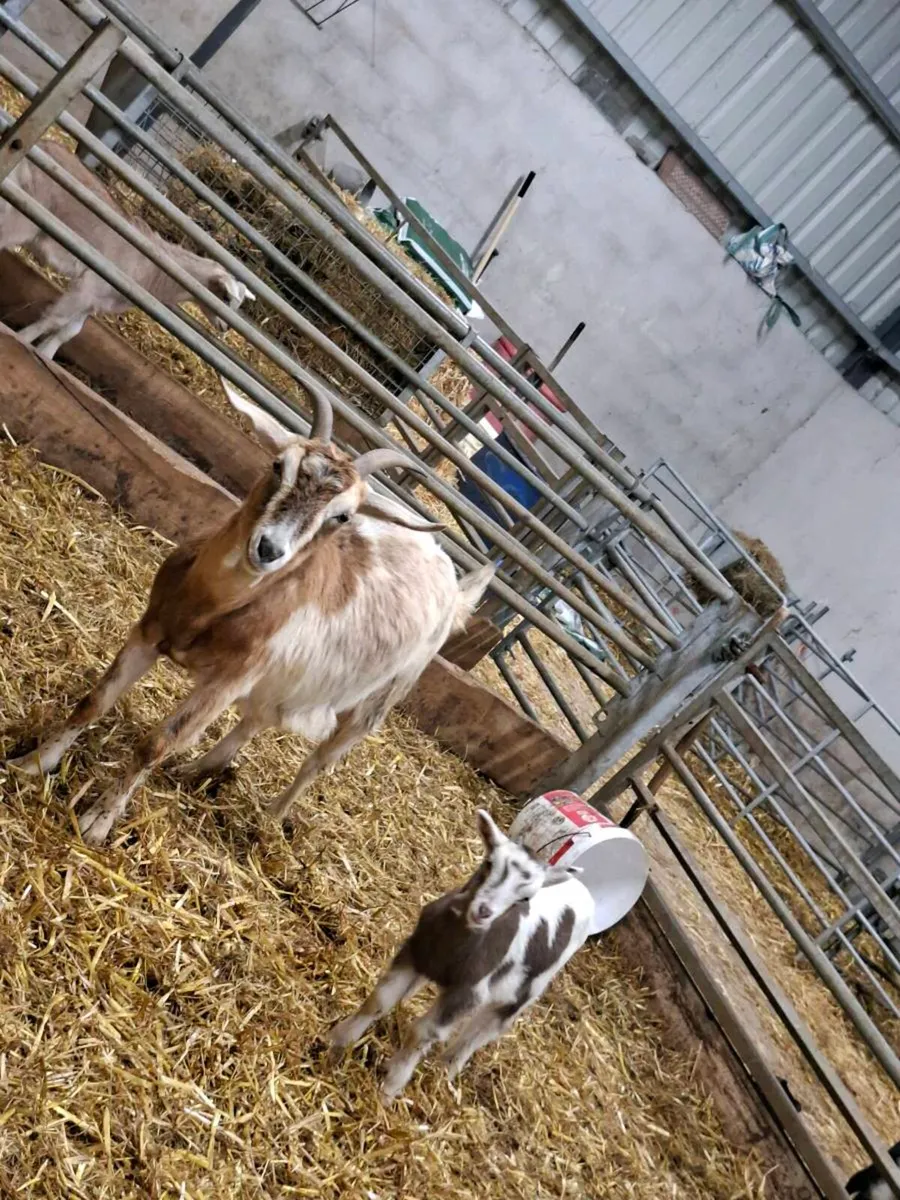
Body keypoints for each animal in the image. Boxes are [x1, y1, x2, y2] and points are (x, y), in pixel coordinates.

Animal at [0, 140, 253, 360]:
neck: (153, 269)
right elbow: (53, 320)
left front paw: (45, 354)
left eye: (238, 304)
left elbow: (69, 332)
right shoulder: (89, 286)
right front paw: (22, 340)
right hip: (21, 219)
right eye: (225, 297)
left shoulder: (97, 300)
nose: (225, 327)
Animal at [8, 379, 494, 845]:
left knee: (319, 760)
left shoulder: (227, 680)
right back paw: (197, 770)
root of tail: (451, 579)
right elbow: (94, 701)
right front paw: (32, 763)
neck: (207, 608)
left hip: (380, 698)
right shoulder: (149, 630)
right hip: (282, 680)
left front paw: (97, 823)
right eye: (279, 465)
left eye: (342, 517)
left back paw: (271, 818)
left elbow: (158, 743)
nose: (269, 549)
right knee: (259, 717)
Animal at [327, 808, 593, 1100]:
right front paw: (336, 1041)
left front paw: (390, 1087)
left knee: (482, 1033)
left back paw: (447, 1070)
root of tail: (583, 891)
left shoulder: (468, 992)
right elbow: (379, 1000)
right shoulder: (415, 952)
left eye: (525, 898)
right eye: (489, 863)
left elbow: (424, 1033)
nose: (484, 911)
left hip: (524, 994)